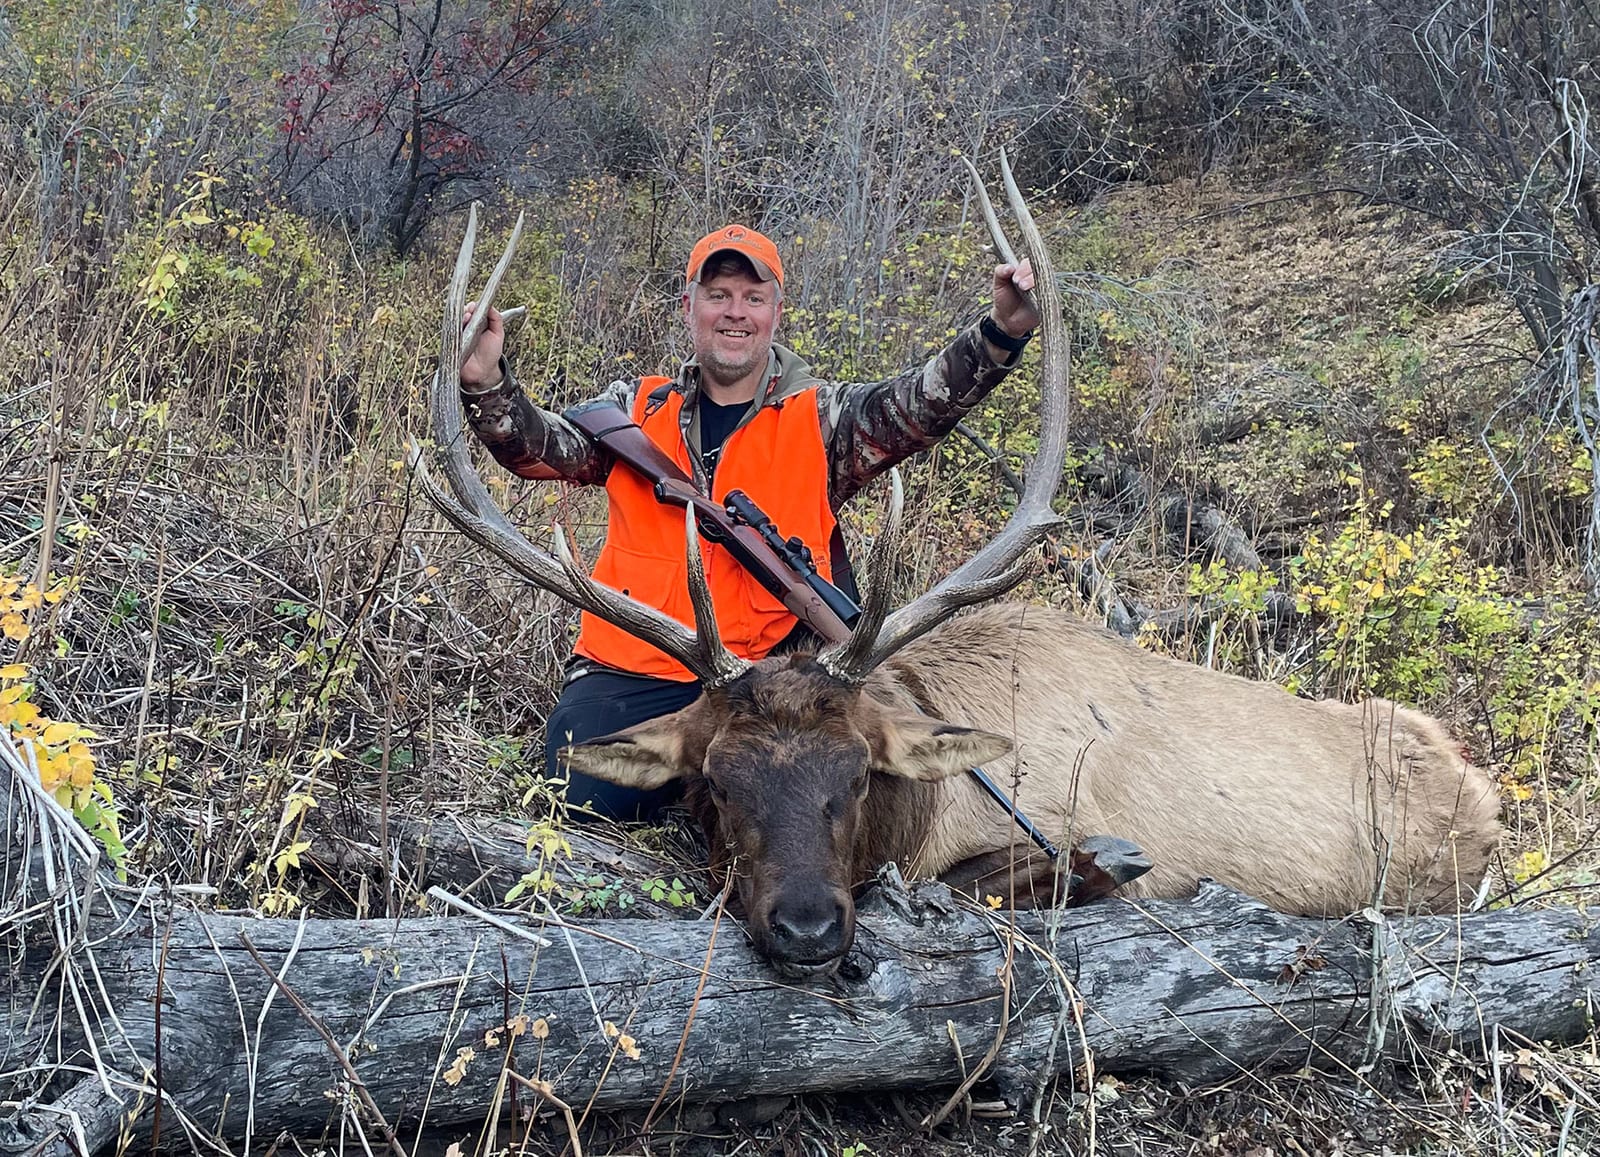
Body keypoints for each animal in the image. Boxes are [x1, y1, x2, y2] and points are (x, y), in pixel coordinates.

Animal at [413, 159, 1502, 980]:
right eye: (714, 780)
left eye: (858, 771)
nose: (807, 926)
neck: (935, 795)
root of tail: (1475, 784)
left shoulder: (1134, 858)